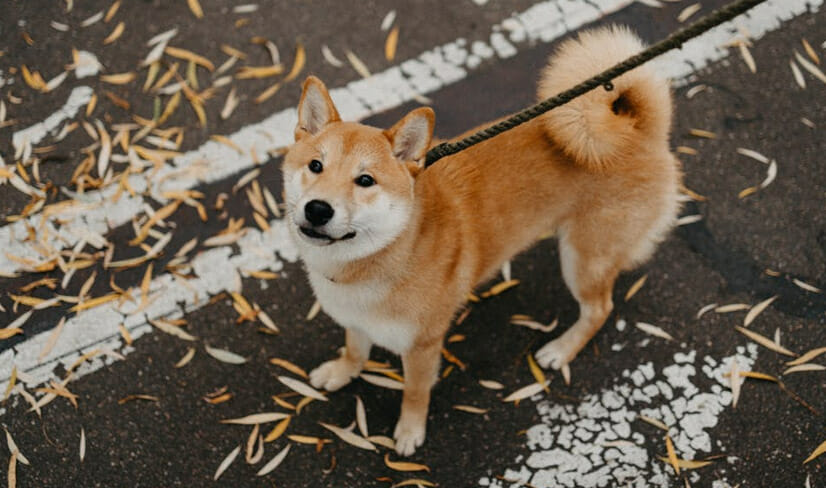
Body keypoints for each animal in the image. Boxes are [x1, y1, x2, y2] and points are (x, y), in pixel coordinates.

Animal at [280, 25, 680, 454]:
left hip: (583, 260)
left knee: (599, 310)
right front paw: (343, 371)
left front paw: (409, 430)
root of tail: (639, 131)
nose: (318, 210)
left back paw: (561, 349)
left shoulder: (423, 346)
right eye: (316, 166)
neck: (382, 257)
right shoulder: (356, 322)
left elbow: (415, 392)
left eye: (365, 180)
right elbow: (355, 350)